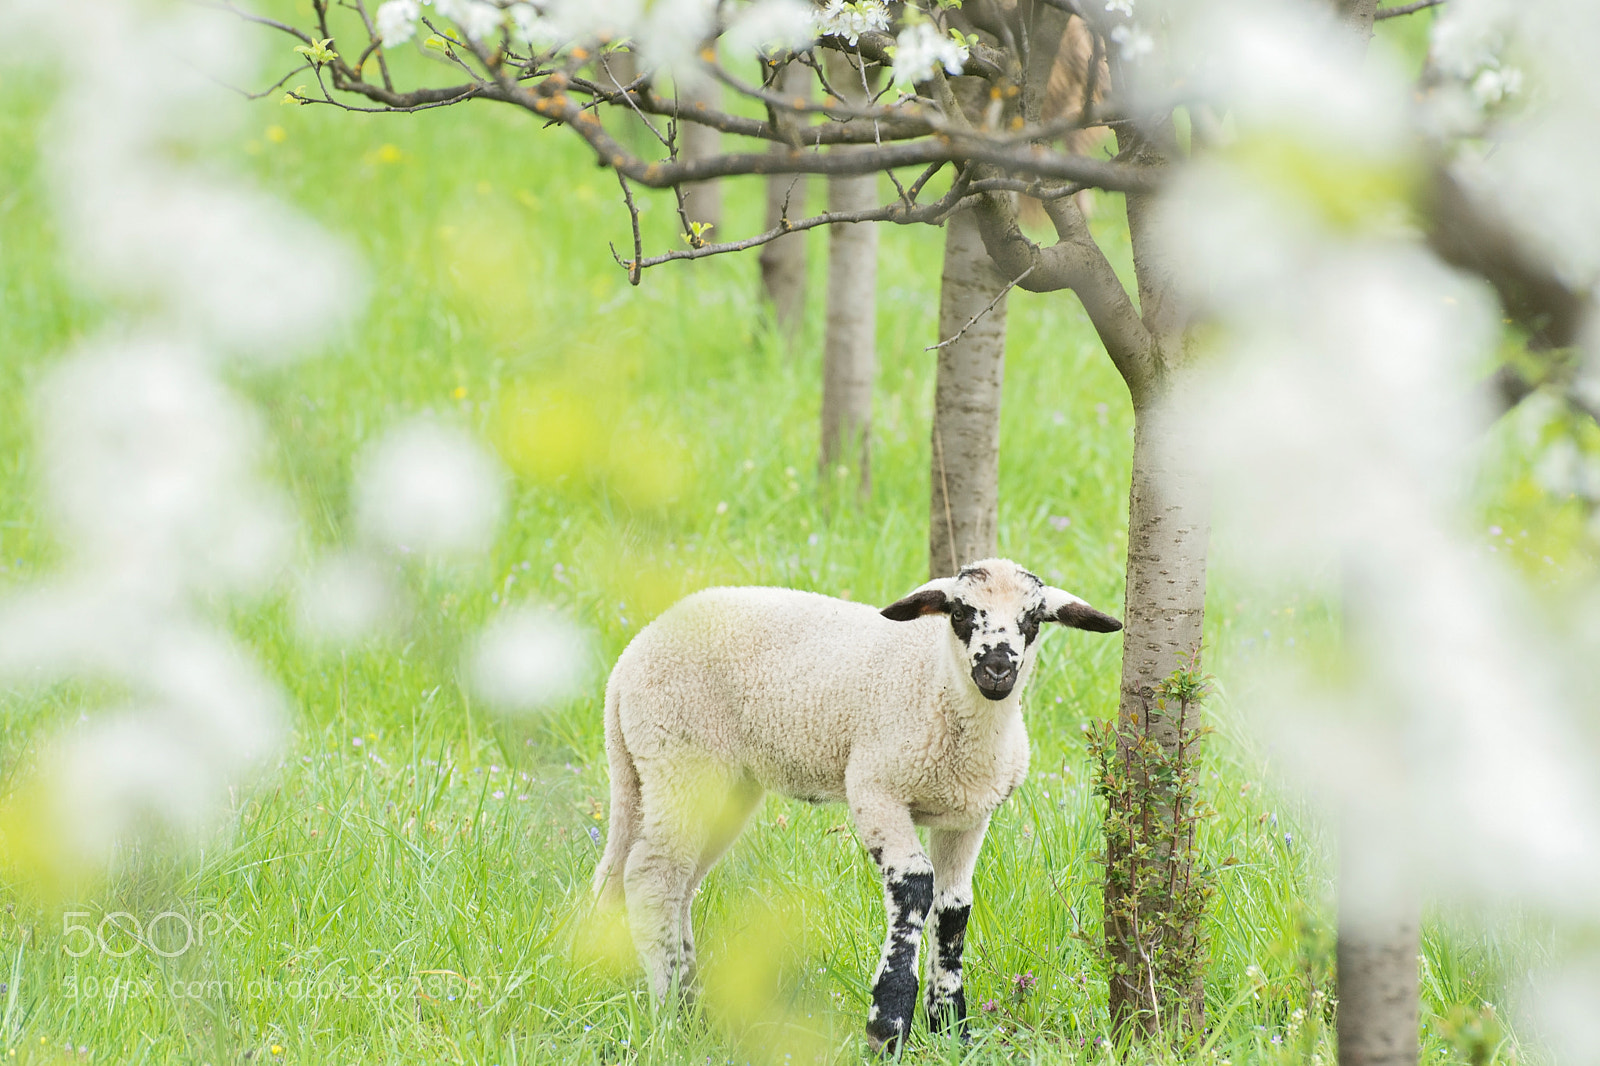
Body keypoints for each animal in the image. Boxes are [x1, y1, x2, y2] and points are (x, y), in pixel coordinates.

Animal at [591, 558, 1122, 1052]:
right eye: (960, 613)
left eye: (1032, 619)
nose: (997, 669)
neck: (939, 685)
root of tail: (626, 663)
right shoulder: (874, 788)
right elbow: (915, 887)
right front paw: (888, 1027)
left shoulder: (967, 816)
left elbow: (954, 908)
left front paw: (952, 1030)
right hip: (682, 758)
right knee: (653, 876)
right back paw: (674, 1015)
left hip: (705, 783)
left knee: (658, 881)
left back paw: (669, 1000)